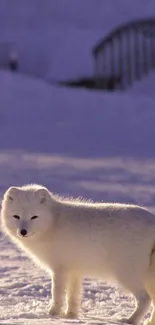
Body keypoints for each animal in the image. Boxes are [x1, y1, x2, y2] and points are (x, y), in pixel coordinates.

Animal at [0, 184, 155, 322]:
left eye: (34, 217)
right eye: (16, 216)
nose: (23, 231)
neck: (53, 222)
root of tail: (151, 220)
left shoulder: (59, 269)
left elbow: (57, 294)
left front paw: (53, 314)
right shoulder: (74, 271)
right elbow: (72, 296)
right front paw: (71, 315)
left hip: (127, 274)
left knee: (145, 299)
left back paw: (130, 320)